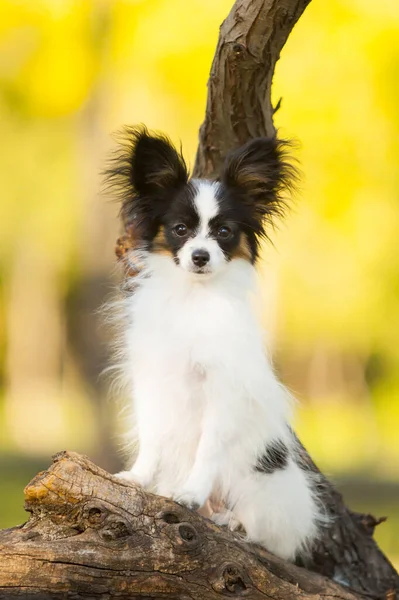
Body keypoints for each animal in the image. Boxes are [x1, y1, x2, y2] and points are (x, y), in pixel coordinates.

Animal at [108, 126, 326, 564]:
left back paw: (231, 520)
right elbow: (152, 436)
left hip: (263, 487)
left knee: (270, 535)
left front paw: (191, 493)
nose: (200, 256)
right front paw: (138, 477)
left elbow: (208, 448)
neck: (193, 298)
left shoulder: (224, 390)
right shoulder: (151, 381)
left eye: (224, 232)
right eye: (180, 229)